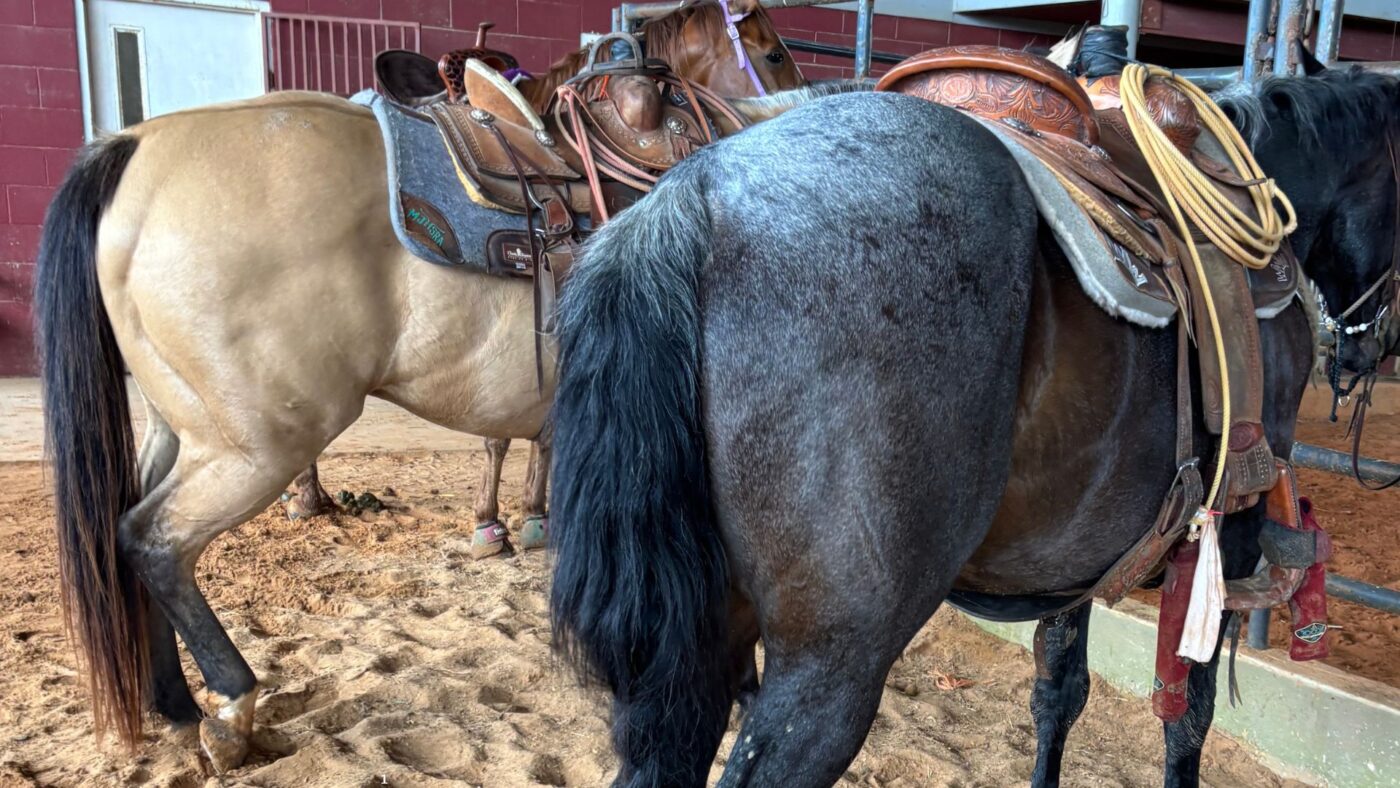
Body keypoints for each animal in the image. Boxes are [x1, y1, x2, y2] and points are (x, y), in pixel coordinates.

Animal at [31, 0, 804, 771]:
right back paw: (227, 708)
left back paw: (175, 706)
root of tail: (134, 148)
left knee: (126, 531)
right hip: (254, 447)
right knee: (152, 540)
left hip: (182, 424)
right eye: (771, 53)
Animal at [547, 65, 1398, 786]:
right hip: (830, 664)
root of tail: (694, 193)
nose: (1371, 347)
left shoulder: (1074, 554)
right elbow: (1187, 713)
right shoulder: (1230, 534)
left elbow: (1059, 690)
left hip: (694, 654)